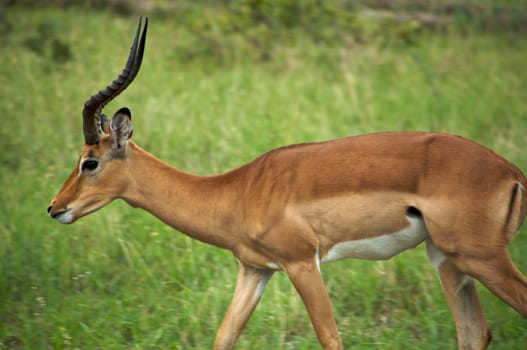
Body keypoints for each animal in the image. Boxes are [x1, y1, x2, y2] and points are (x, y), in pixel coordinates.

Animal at [47, 19, 524, 350]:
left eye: (89, 161)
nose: (55, 208)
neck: (237, 191)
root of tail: (511, 172)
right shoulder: (255, 269)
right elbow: (224, 337)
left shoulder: (302, 263)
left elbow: (330, 337)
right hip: (447, 260)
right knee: (474, 334)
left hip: (481, 257)